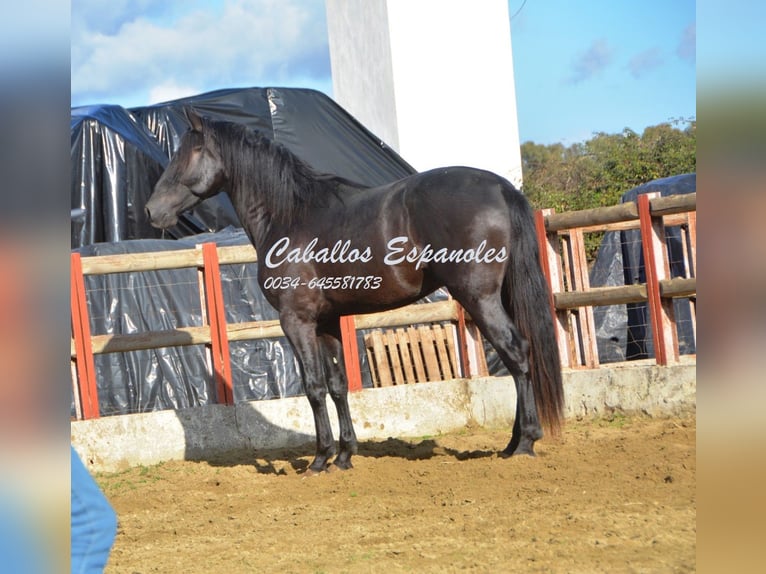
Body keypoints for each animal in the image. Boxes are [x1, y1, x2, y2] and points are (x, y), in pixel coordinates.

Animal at [146, 110, 564, 474]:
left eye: (189, 152)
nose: (152, 211)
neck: (290, 215)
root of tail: (501, 188)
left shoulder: (296, 321)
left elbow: (314, 387)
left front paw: (320, 459)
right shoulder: (327, 322)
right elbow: (338, 385)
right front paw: (345, 455)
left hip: (479, 298)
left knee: (516, 353)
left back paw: (525, 442)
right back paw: (510, 443)